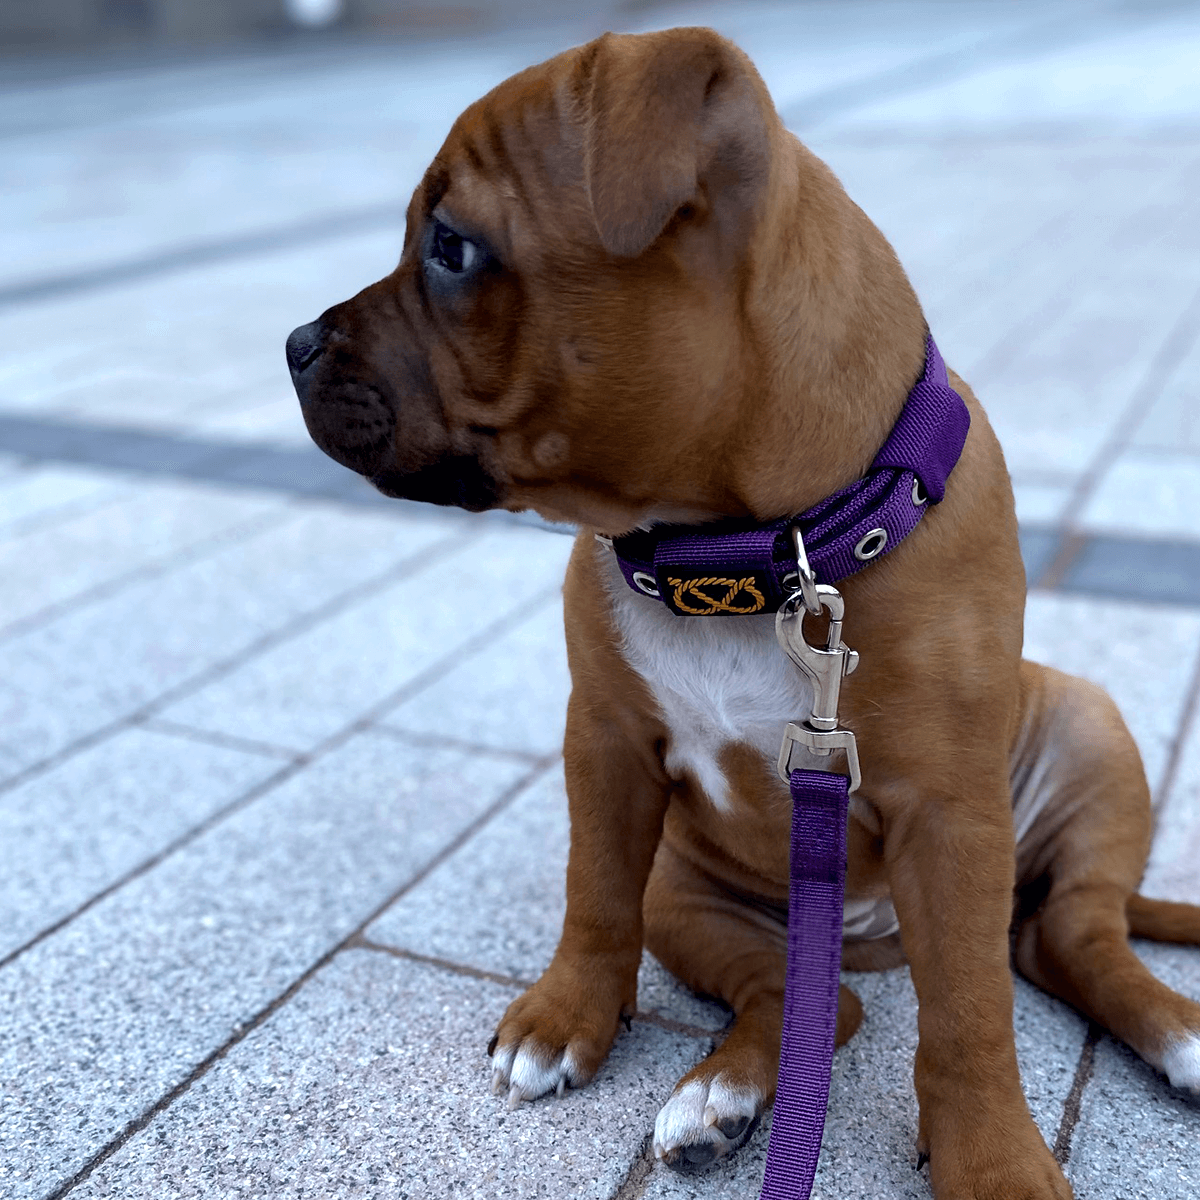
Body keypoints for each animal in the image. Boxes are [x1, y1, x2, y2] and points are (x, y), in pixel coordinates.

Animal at [288, 28, 1200, 1200]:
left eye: (451, 248)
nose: (296, 343)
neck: (742, 554)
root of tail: (864, 935)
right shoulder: (606, 743)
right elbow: (593, 892)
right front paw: (566, 1016)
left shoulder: (953, 817)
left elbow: (967, 1010)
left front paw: (994, 1159)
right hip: (691, 896)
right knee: (819, 1001)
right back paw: (720, 1099)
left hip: (1087, 735)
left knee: (1065, 939)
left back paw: (1179, 1034)